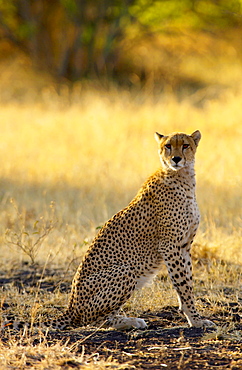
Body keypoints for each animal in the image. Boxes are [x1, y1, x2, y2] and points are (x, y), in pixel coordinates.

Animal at [4, 129, 215, 330]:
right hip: (125, 270)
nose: (176, 159)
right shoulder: (170, 246)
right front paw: (196, 320)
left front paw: (192, 316)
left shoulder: (184, 246)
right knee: (91, 320)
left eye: (185, 145)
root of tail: (71, 307)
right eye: (168, 146)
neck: (183, 178)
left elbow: (187, 282)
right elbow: (183, 284)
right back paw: (129, 322)